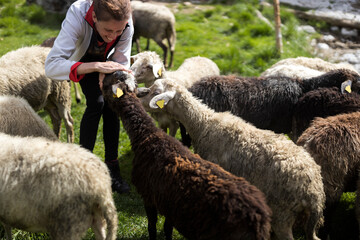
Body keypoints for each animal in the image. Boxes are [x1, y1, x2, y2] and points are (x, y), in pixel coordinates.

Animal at [138, 78, 326, 239]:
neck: (203, 123)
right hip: (307, 218)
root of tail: (313, 190)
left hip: (283, 212)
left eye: (155, 92)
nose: (138, 97)